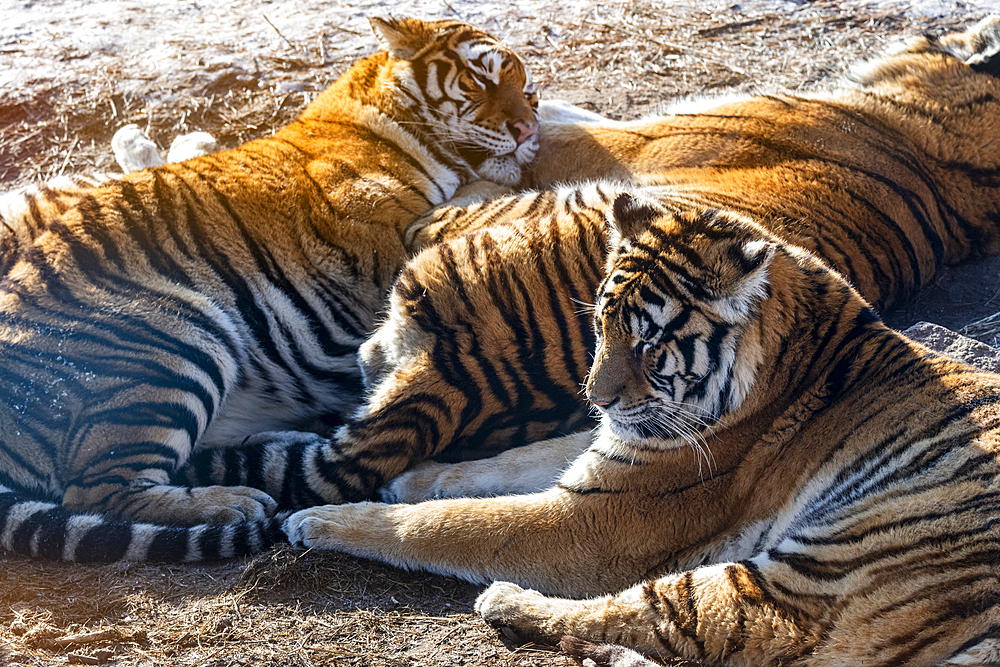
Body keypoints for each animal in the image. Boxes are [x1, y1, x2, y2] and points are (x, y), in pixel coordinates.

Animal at [0, 17, 540, 564]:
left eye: (530, 93)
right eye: (479, 79)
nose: (529, 129)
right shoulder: (385, 236)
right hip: (177, 334)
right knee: (97, 491)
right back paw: (233, 503)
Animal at [282, 189, 1000, 667]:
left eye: (650, 343)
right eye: (600, 323)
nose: (594, 395)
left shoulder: (599, 517)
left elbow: (450, 525)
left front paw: (319, 519)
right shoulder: (619, 445)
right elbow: (518, 458)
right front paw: (416, 477)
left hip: (825, 563)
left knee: (659, 617)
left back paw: (506, 601)